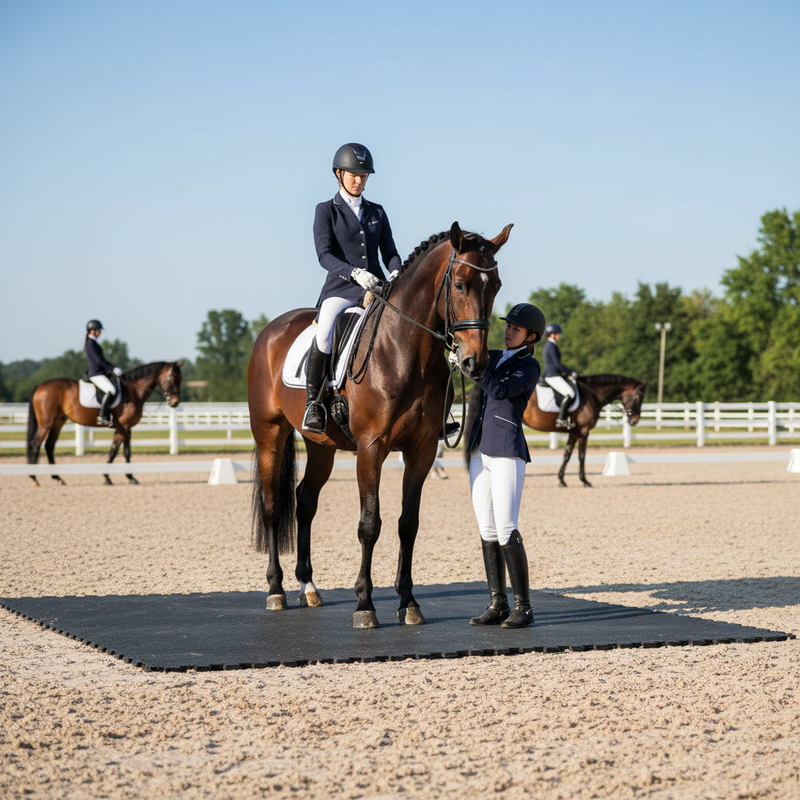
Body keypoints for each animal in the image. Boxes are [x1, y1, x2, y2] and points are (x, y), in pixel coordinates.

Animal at [26, 361, 182, 486]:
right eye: (174, 378)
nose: (175, 403)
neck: (133, 392)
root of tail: (40, 386)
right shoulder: (122, 427)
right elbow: (114, 450)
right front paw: (107, 477)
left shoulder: (128, 428)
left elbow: (127, 452)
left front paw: (131, 477)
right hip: (46, 423)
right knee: (36, 444)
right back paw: (34, 478)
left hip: (58, 423)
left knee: (49, 446)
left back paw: (57, 478)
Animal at [248, 221, 510, 628]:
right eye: (460, 284)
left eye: (495, 285)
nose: (474, 362)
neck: (405, 351)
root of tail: (270, 331)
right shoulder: (371, 448)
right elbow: (369, 524)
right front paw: (364, 605)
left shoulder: (422, 449)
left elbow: (408, 524)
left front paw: (408, 602)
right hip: (269, 435)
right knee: (275, 506)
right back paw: (276, 590)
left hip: (321, 446)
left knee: (305, 501)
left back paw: (308, 587)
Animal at [465, 374, 647, 487]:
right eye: (639, 397)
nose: (635, 420)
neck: (592, 395)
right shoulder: (584, 432)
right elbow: (581, 456)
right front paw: (584, 481)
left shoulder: (574, 432)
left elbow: (567, 454)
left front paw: (561, 480)